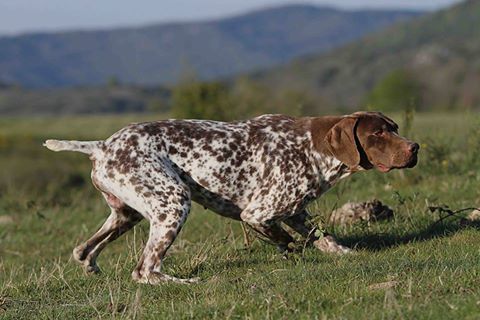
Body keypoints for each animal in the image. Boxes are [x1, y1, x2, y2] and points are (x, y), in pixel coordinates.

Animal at [46, 111, 420, 284]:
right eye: (378, 133)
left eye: (396, 127)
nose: (414, 148)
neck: (312, 148)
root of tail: (101, 146)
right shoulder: (258, 213)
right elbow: (287, 240)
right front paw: (293, 253)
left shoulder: (295, 210)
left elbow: (320, 236)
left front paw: (342, 252)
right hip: (173, 202)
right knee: (145, 270)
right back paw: (184, 282)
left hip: (128, 214)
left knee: (83, 249)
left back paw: (91, 265)